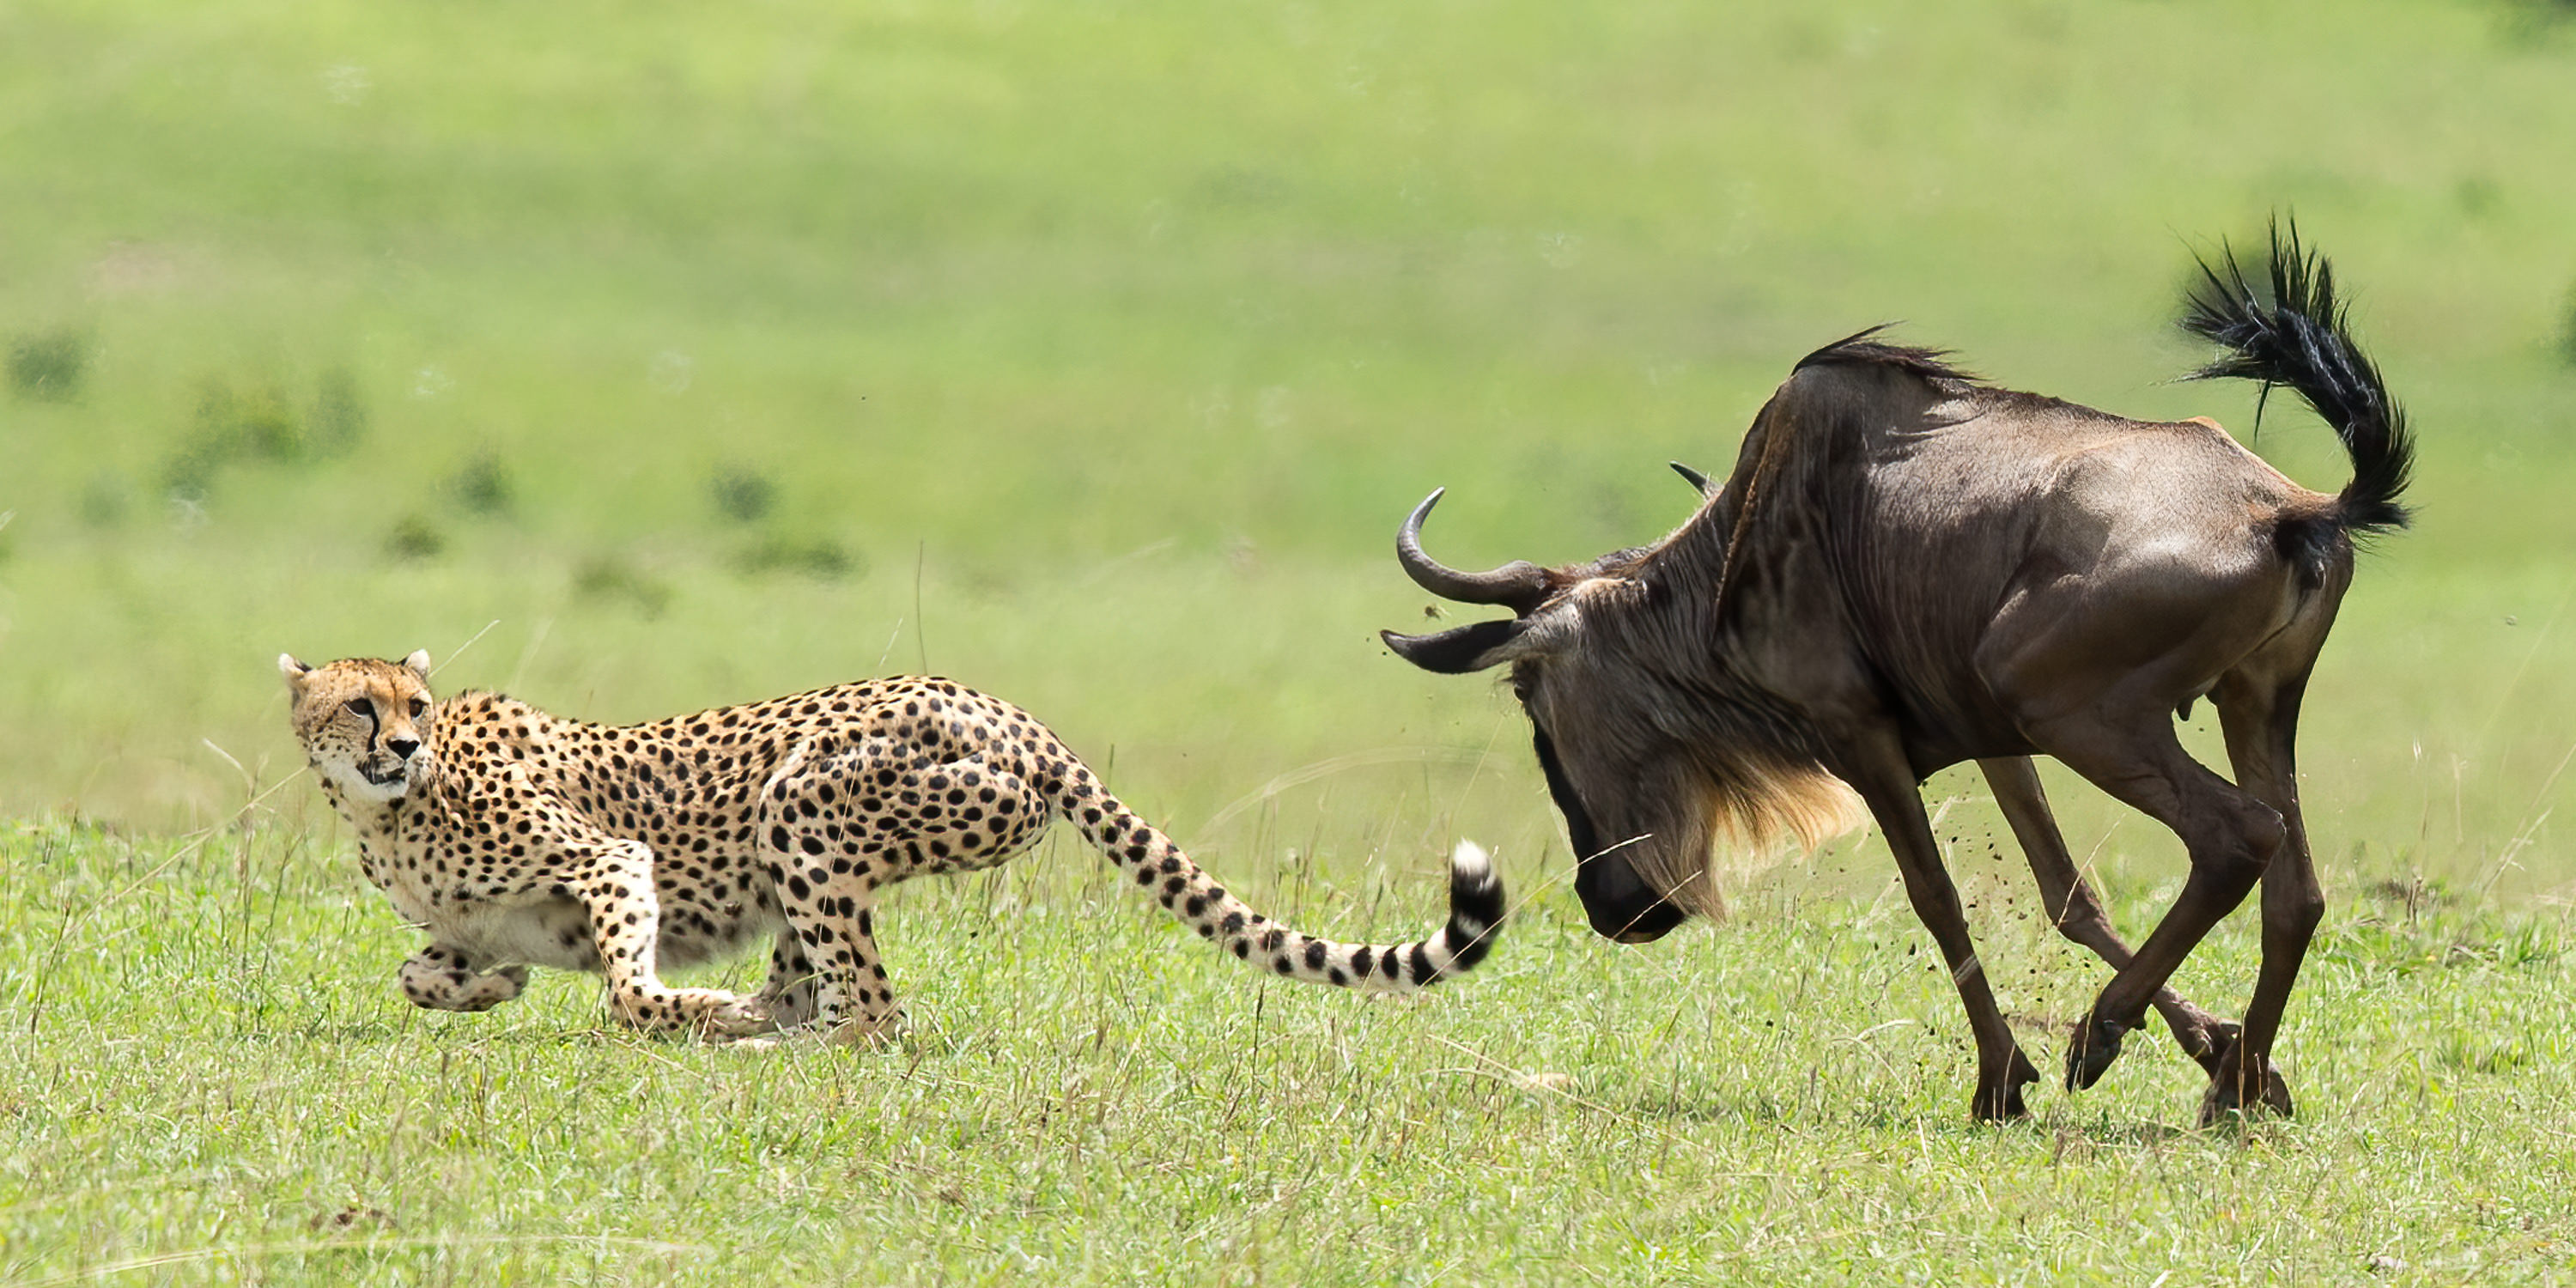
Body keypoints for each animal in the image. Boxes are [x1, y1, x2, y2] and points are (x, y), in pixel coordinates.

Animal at [279, 649, 1504, 1041]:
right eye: (357, 706)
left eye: (414, 707)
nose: (398, 743)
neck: (388, 809)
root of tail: (1008, 707)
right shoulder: (471, 925)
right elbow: (426, 972)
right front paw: (485, 991)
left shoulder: (608, 861)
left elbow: (629, 981)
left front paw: (677, 1008)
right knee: (816, 989)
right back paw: (754, 1027)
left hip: (801, 802)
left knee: (869, 1013)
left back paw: (752, 1042)